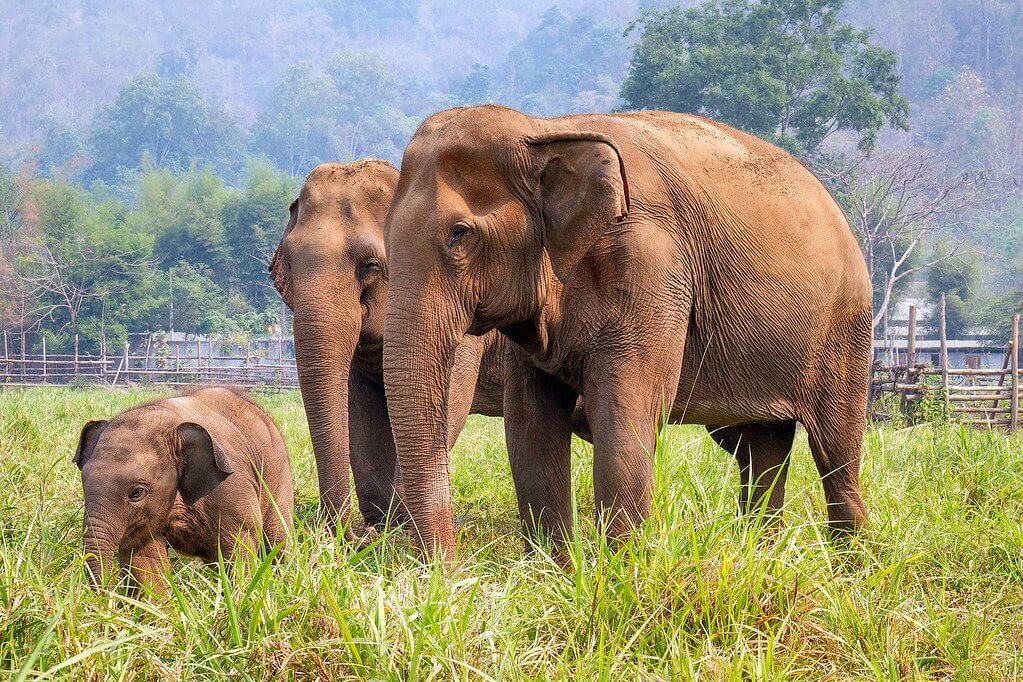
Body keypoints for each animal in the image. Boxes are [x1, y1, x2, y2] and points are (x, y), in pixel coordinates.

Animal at [74, 387, 294, 594]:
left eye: (136, 493)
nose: (105, 597)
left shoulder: (233, 487)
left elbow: (239, 544)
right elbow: (145, 559)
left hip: (279, 472)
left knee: (277, 539)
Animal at [268, 160, 510, 538]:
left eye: (369, 266)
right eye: (288, 266)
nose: (348, 534)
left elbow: (446, 403)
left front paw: (397, 529)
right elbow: (360, 409)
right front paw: (381, 528)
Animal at [381, 105, 873, 560]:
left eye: (459, 234)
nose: (449, 571)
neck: (545, 130)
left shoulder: (651, 265)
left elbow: (624, 416)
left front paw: (620, 573)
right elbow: (530, 428)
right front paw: (559, 574)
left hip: (845, 332)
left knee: (835, 454)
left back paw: (849, 563)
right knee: (761, 450)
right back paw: (763, 556)